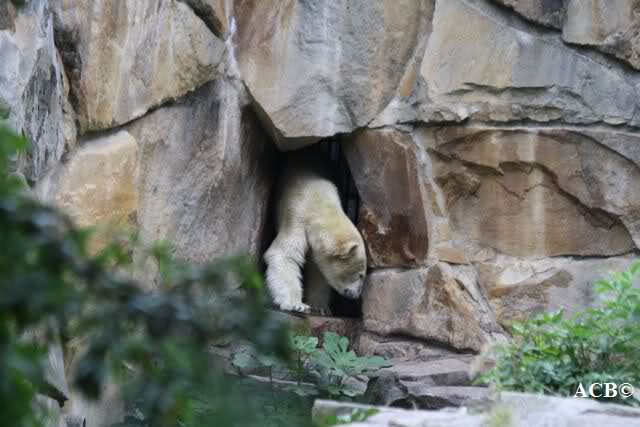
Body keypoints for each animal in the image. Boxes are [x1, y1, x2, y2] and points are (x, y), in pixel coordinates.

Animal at [264, 152, 366, 315]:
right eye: (361, 275)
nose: (355, 296)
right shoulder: (296, 219)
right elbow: (284, 254)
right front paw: (297, 305)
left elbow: (319, 271)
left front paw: (319, 308)